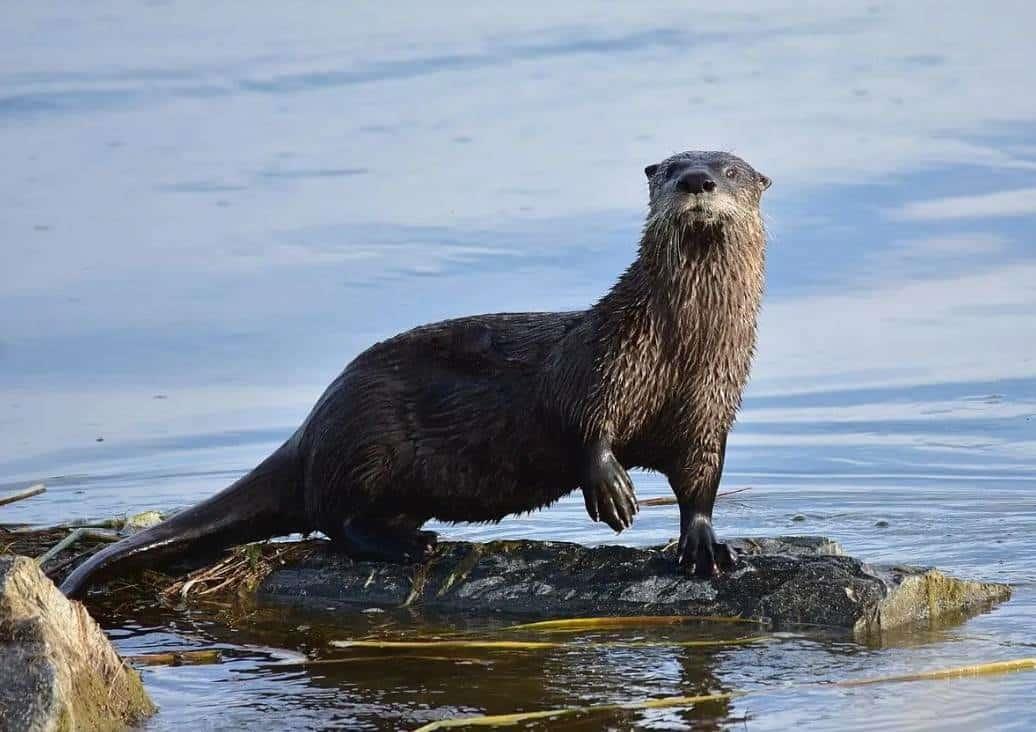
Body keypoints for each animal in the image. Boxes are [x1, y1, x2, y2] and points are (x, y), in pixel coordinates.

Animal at [56, 147, 770, 596]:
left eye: (730, 169)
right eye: (671, 168)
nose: (698, 181)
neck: (680, 351)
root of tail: (312, 426)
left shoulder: (710, 405)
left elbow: (700, 479)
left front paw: (705, 546)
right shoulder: (605, 360)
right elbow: (581, 421)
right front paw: (613, 490)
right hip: (368, 440)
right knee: (336, 520)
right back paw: (409, 545)